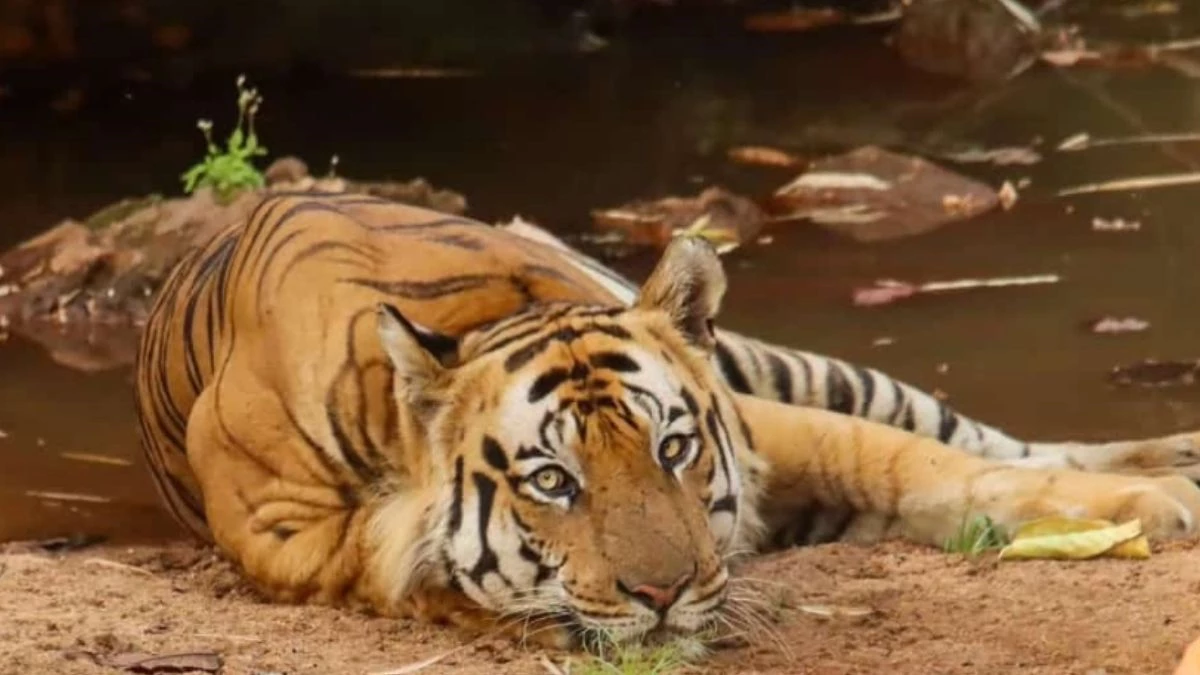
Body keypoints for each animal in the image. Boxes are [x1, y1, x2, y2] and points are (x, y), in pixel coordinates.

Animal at [134, 191, 1200, 648]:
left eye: (673, 447)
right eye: (551, 480)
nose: (662, 593)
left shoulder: (763, 420)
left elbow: (929, 464)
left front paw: (1152, 504)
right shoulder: (288, 534)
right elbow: (390, 559)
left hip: (790, 365)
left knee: (989, 434)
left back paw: (1178, 456)